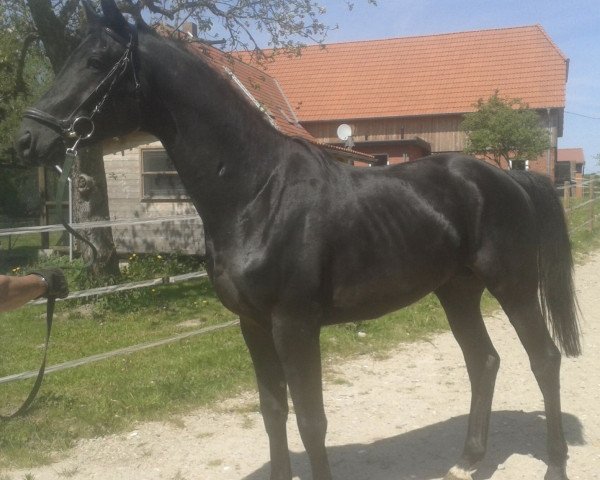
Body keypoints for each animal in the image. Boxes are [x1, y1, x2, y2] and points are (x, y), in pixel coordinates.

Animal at [15, 1, 580, 478]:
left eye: (95, 61)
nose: (25, 140)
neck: (258, 193)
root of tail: (508, 178)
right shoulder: (252, 325)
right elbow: (273, 412)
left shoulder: (295, 325)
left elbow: (312, 420)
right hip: (456, 289)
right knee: (483, 362)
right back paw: (468, 460)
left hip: (513, 286)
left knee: (545, 360)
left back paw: (553, 464)